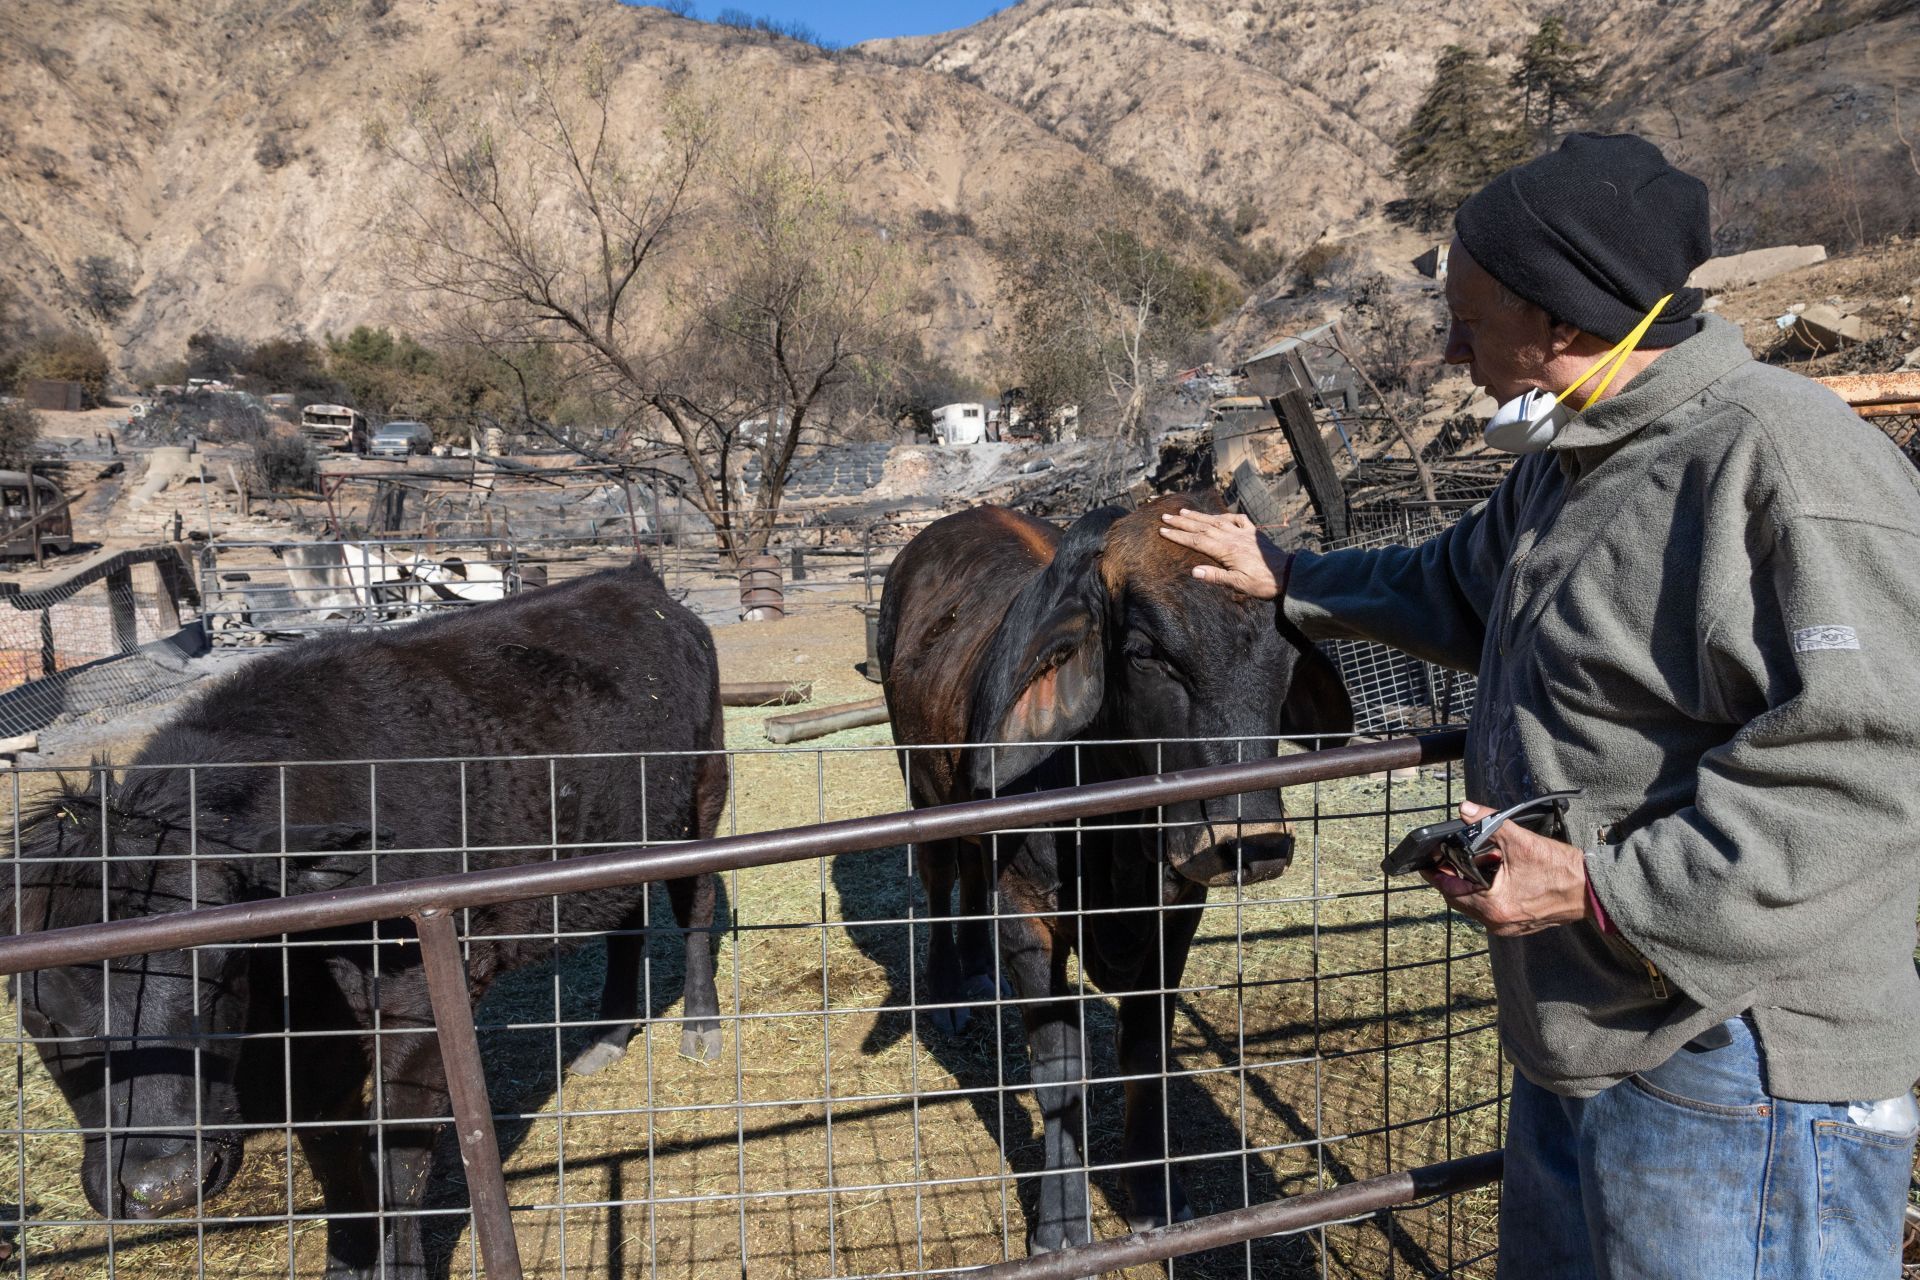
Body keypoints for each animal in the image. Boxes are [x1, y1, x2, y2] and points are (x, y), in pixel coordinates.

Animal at [7, 564, 721, 1280]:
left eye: (224, 967)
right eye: (35, 1010)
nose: (166, 1185)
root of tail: (632, 578)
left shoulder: (420, 1003)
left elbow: (396, 1162)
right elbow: (338, 1166)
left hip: (700, 797)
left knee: (696, 906)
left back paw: (701, 1026)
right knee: (626, 920)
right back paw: (608, 1034)